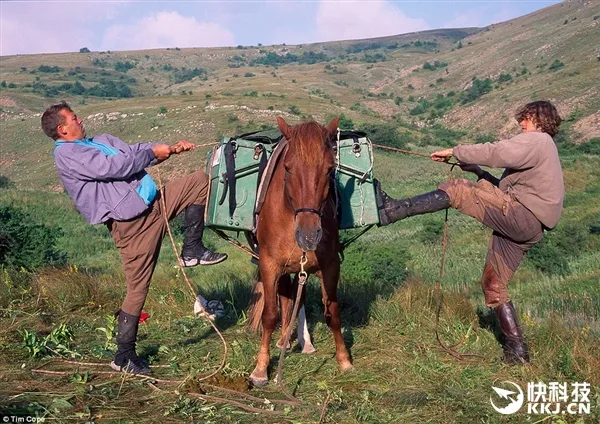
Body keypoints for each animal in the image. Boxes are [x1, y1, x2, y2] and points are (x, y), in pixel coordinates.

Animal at [247, 117, 352, 388]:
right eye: (287, 168)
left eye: (330, 169)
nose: (308, 235)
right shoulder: (269, 264)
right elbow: (269, 315)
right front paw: (260, 369)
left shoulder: (330, 265)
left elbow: (333, 312)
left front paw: (344, 359)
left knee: (295, 296)